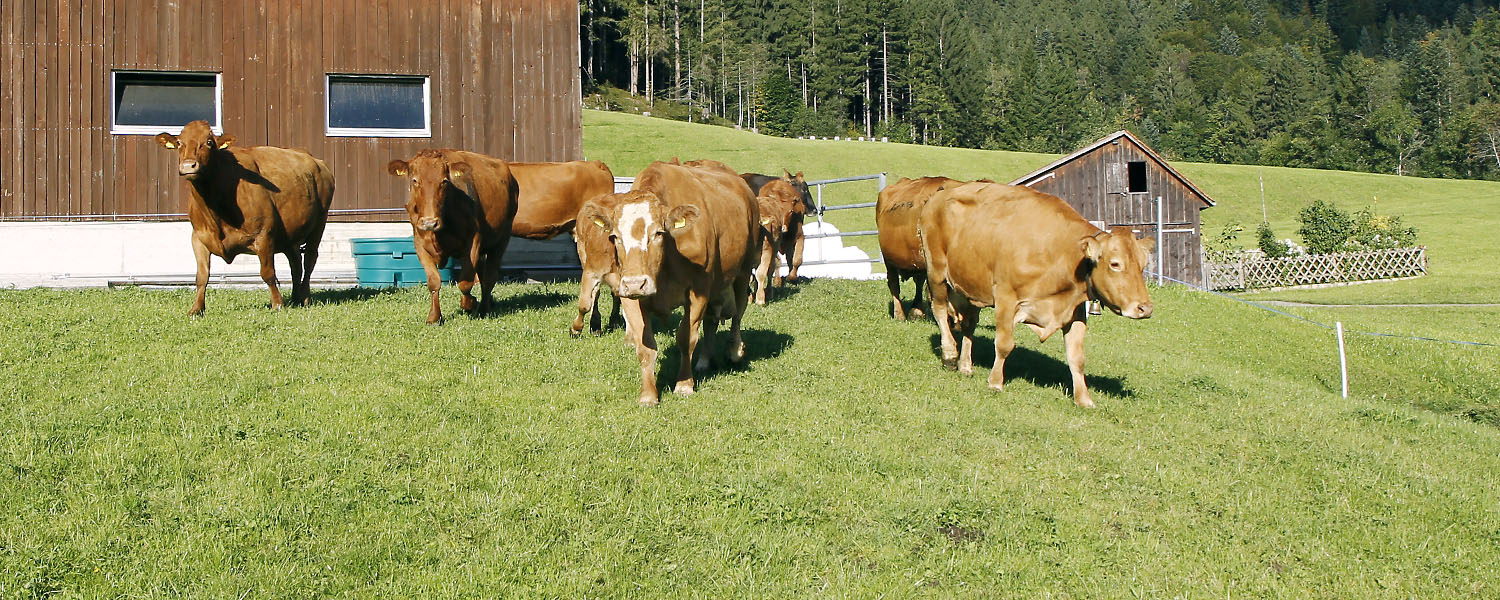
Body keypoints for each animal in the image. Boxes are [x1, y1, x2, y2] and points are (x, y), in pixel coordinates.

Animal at [155, 120, 334, 316]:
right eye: (179, 143)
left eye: (209, 142)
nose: (188, 166)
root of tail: (316, 161)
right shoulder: (198, 237)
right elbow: (202, 276)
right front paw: (196, 309)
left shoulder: (264, 235)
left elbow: (268, 273)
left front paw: (277, 304)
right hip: (290, 235)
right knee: (296, 264)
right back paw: (295, 298)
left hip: (320, 222)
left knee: (309, 260)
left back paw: (305, 297)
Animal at [384, 151, 519, 328]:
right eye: (415, 180)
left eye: (444, 181)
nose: (430, 222)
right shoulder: (419, 244)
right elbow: (434, 281)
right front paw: (434, 317)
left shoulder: (474, 241)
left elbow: (465, 282)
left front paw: (469, 303)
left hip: (501, 239)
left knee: (490, 276)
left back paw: (483, 308)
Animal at [576, 159, 762, 405]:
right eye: (615, 236)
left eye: (657, 233)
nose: (636, 283)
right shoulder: (630, 295)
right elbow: (644, 345)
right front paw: (648, 394)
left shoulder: (698, 291)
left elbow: (686, 338)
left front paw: (684, 384)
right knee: (712, 321)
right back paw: (705, 360)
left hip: (743, 271)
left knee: (738, 314)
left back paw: (734, 351)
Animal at [918, 183, 1152, 408]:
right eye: (1115, 264)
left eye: (1143, 264)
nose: (1145, 308)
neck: (1059, 253)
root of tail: (939, 195)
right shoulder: (1006, 297)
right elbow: (1004, 345)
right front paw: (995, 382)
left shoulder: (1074, 310)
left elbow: (1077, 357)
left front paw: (1084, 399)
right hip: (936, 272)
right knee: (940, 311)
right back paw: (950, 354)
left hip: (970, 285)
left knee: (968, 325)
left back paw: (966, 365)